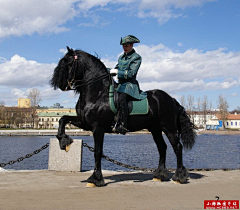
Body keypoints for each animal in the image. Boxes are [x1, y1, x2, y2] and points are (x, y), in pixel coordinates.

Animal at [49, 46, 196, 186]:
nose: (61, 84)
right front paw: (64, 141)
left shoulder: (98, 128)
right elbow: (63, 119)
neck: (98, 93)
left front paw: (96, 179)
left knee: (177, 147)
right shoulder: (84, 122)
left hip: (169, 128)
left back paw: (179, 176)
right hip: (155, 129)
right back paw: (160, 174)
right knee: (162, 148)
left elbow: (97, 152)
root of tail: (171, 99)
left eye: (69, 63)